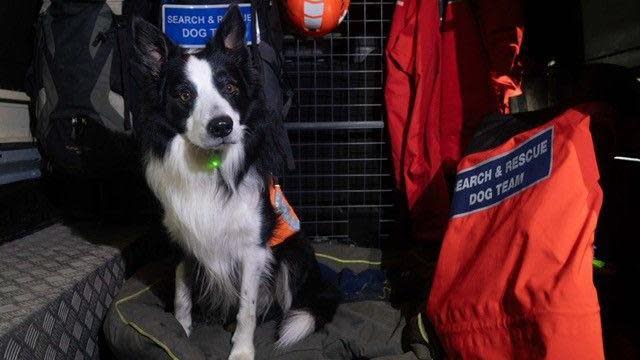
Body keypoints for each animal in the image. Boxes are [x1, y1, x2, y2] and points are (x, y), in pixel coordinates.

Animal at [131, 6, 340, 360]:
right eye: (184, 95)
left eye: (229, 88)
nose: (221, 126)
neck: (209, 164)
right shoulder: (183, 243)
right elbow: (181, 294)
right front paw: (181, 331)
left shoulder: (253, 249)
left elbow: (247, 307)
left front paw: (242, 350)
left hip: (293, 254)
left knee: (292, 305)